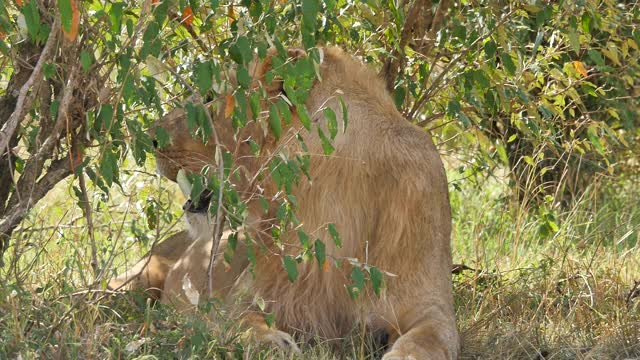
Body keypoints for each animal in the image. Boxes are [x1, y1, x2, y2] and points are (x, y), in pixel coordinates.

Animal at [111, 46, 460, 358]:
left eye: (210, 97)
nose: (149, 137)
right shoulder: (248, 298)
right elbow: (238, 322)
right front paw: (271, 343)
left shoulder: (431, 305)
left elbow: (428, 341)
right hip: (134, 280)